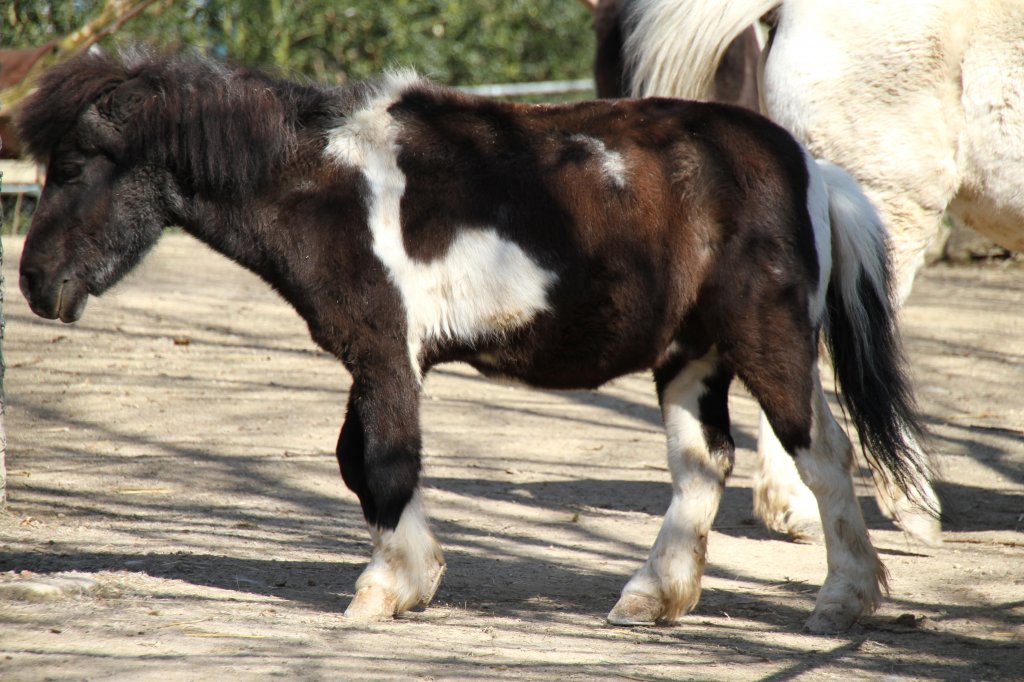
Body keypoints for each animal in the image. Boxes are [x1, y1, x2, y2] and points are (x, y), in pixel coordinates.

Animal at [16, 49, 929, 630]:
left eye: (75, 164)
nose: (33, 284)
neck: (328, 184)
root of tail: (808, 168)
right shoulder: (376, 361)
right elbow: (357, 464)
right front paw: (414, 580)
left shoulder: (385, 354)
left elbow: (384, 462)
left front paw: (385, 591)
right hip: (691, 358)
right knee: (703, 466)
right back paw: (652, 599)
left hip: (767, 341)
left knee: (823, 456)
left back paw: (843, 602)